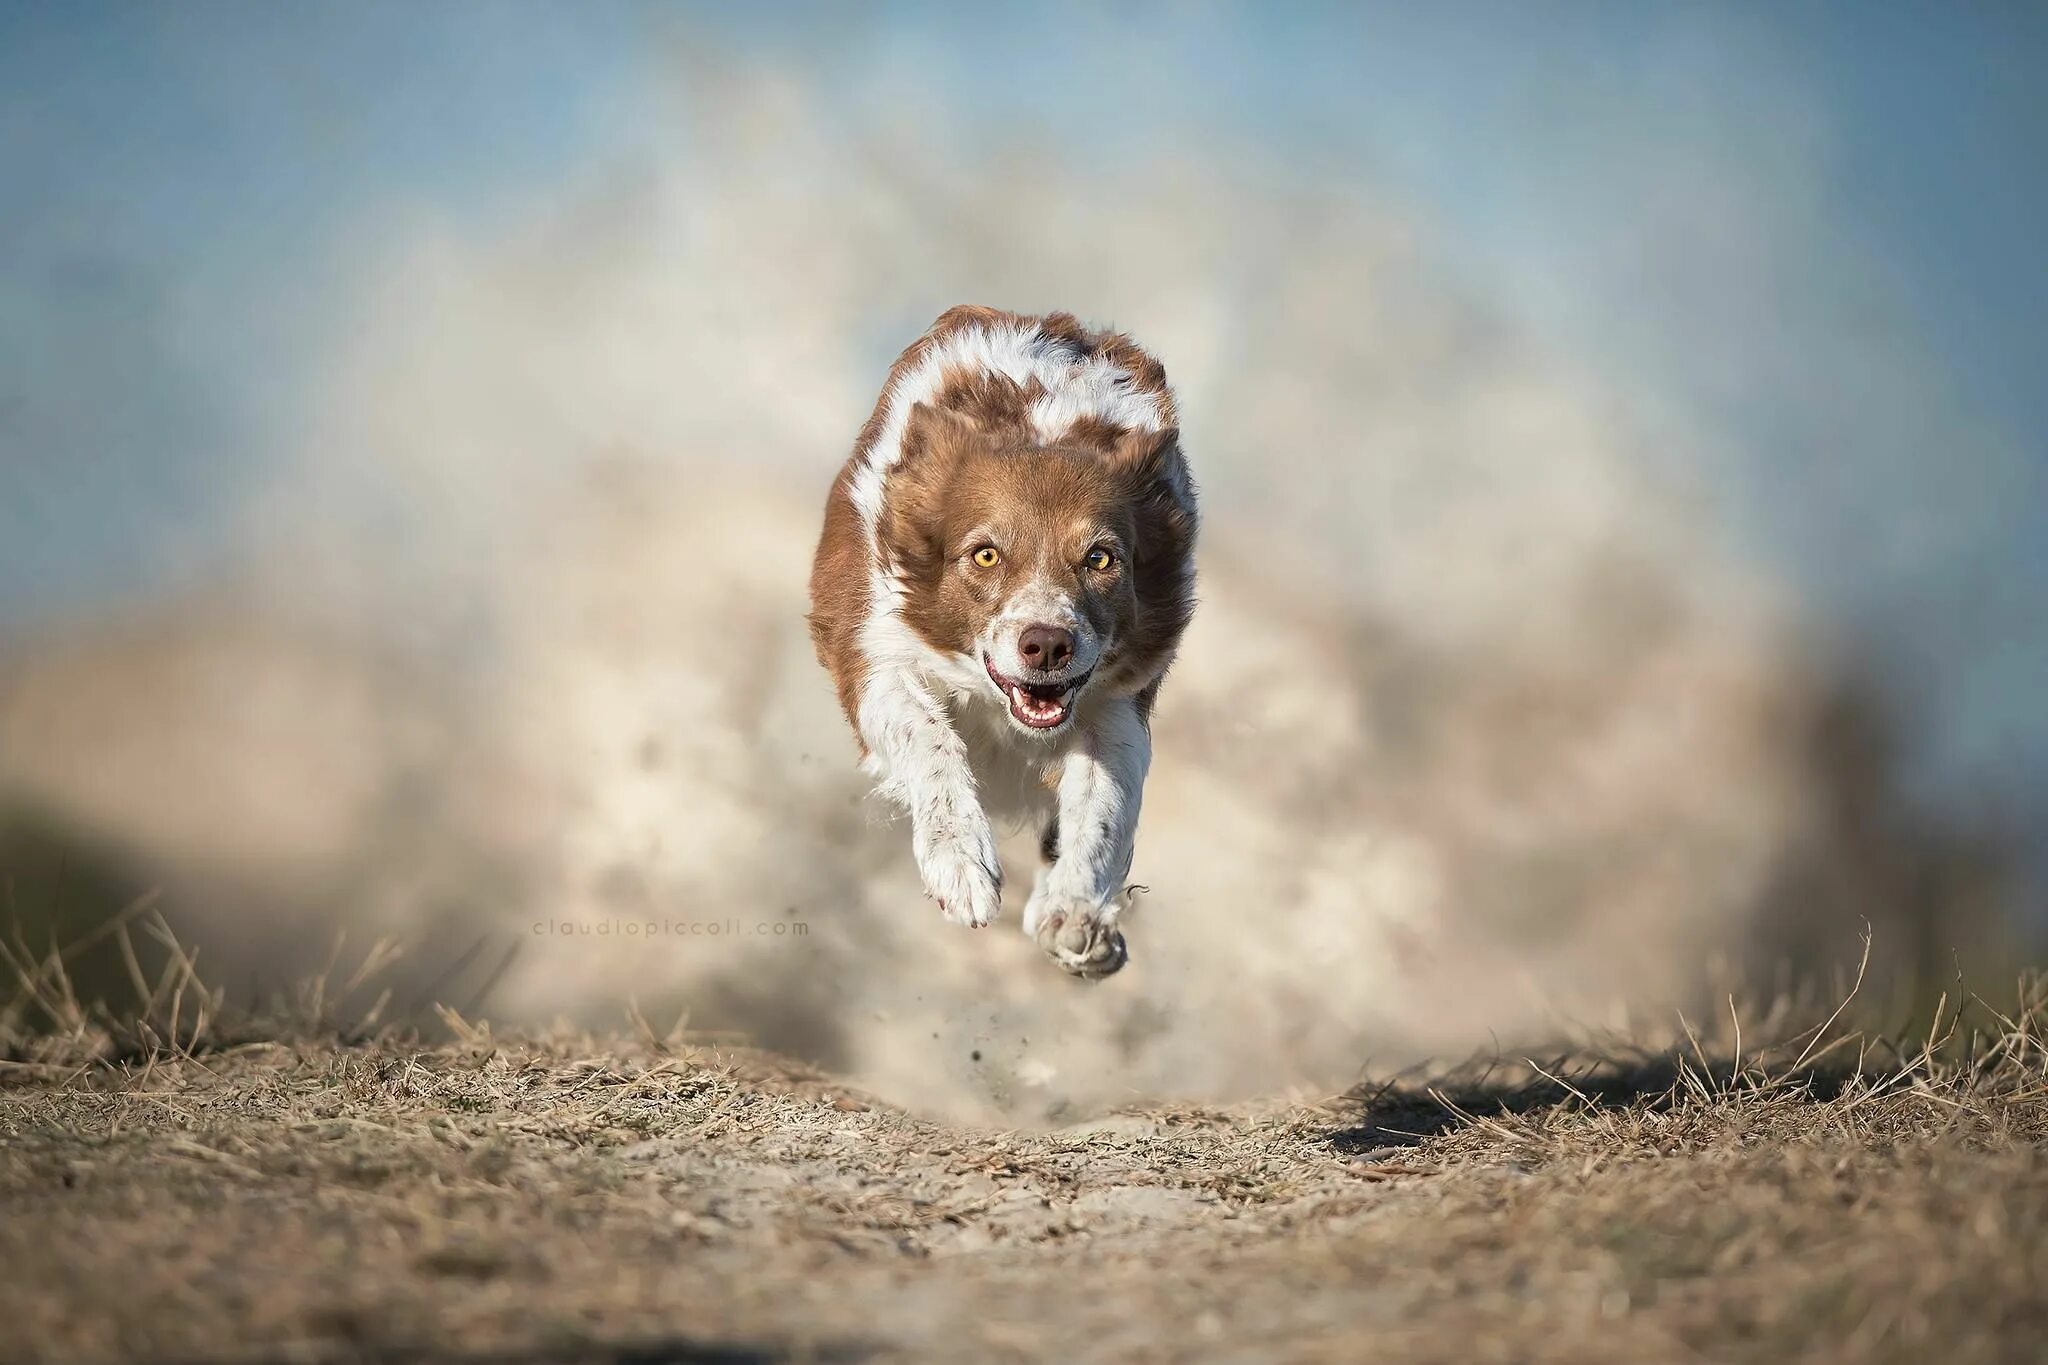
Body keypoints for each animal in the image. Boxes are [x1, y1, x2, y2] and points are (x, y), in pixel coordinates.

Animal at [806, 304, 1196, 978]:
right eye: (985, 554)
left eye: (1101, 558)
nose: (1048, 645)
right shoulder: (873, 648)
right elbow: (928, 736)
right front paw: (961, 866)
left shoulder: (1116, 703)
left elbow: (1105, 806)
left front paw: (1075, 914)